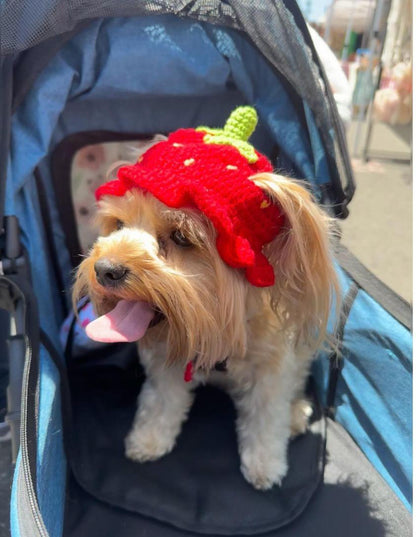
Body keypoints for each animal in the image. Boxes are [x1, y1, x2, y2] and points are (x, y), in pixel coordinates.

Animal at [74, 108, 338, 490]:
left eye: (181, 237)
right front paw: (149, 440)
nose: (105, 269)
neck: (218, 327)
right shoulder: (167, 361)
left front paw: (265, 465)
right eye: (118, 224)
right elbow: (161, 401)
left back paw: (295, 414)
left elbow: (266, 416)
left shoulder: (273, 367)